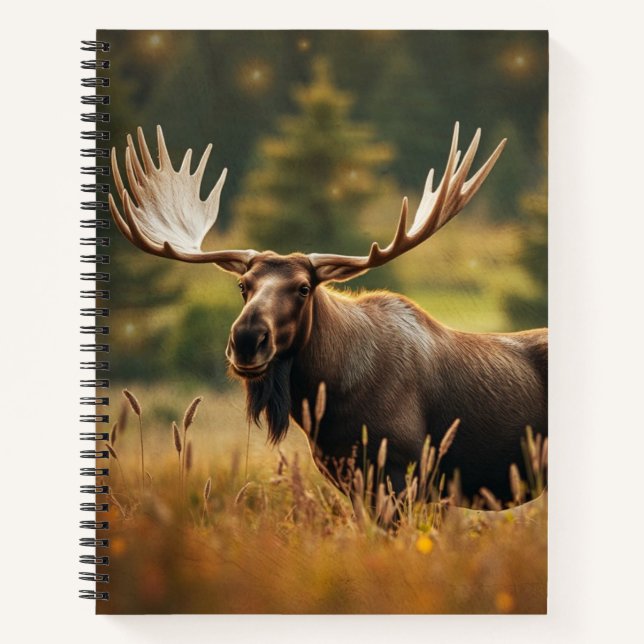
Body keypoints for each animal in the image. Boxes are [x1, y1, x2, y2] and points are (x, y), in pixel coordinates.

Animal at [109, 123, 547, 505]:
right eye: (243, 285)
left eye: (304, 288)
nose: (247, 339)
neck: (333, 396)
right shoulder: (351, 478)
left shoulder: (403, 471)